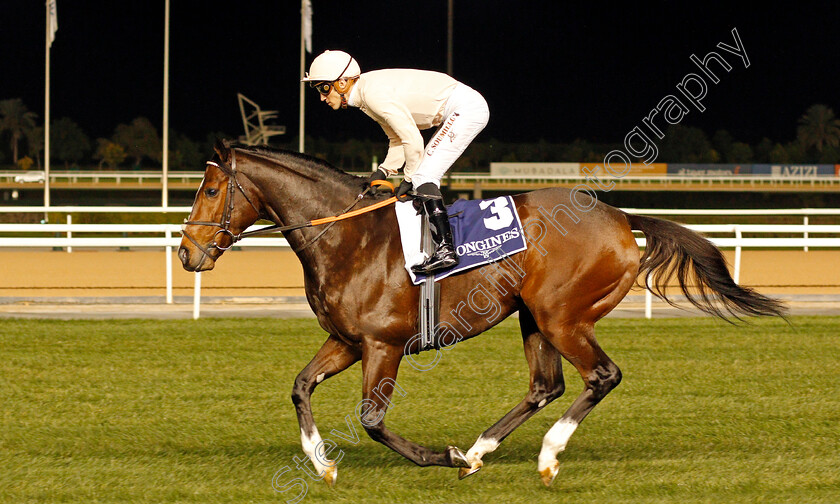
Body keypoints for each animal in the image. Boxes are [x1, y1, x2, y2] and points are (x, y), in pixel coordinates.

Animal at [179, 140, 788, 486]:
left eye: (209, 189)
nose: (187, 253)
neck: (347, 236)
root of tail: (618, 216)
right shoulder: (348, 341)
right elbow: (301, 386)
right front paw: (322, 462)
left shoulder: (383, 345)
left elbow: (373, 420)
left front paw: (444, 457)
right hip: (533, 316)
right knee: (546, 385)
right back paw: (481, 449)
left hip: (562, 315)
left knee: (601, 375)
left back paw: (544, 456)